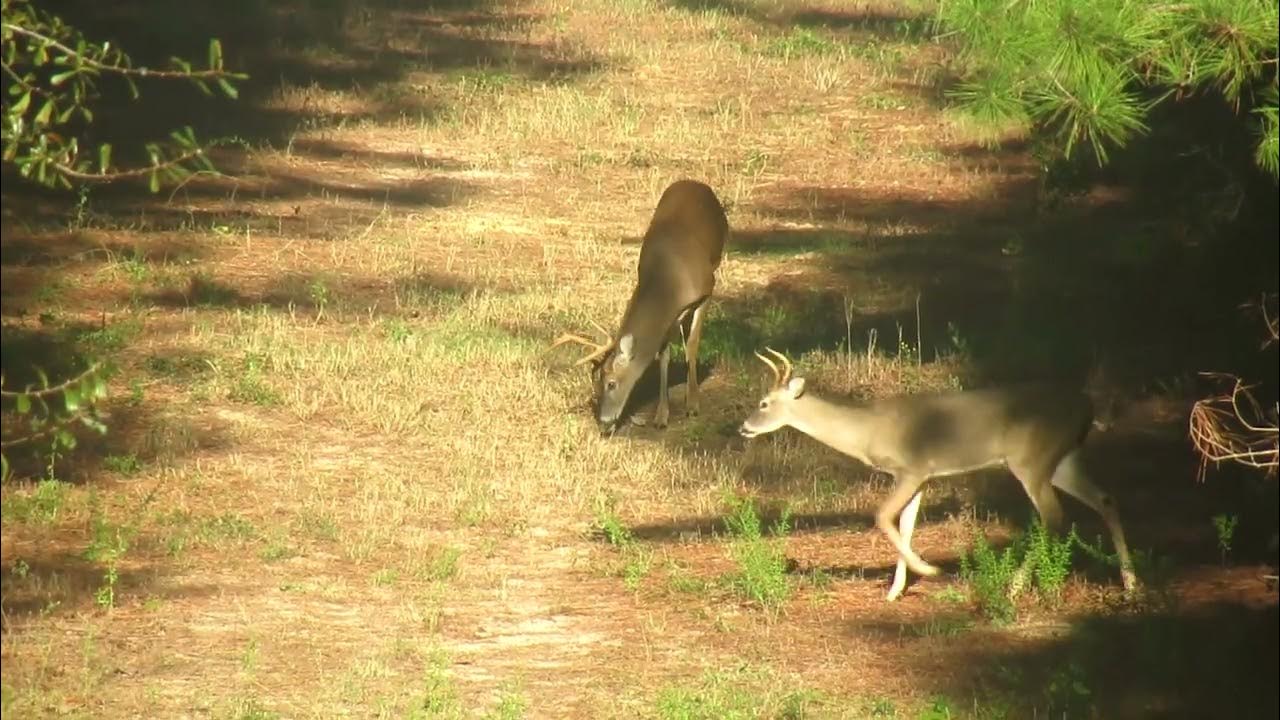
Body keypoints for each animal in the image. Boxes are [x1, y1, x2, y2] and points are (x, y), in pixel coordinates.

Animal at [553, 180, 729, 434]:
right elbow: (663, 356)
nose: (604, 422)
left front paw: (693, 404)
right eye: (596, 384)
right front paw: (661, 416)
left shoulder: (706, 290)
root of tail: (695, 182)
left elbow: (692, 344)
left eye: (612, 383)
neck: (669, 282)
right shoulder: (668, 318)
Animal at [738, 348, 1139, 602]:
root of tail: (1087, 405)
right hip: (1062, 458)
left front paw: (928, 571)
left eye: (763, 403)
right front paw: (895, 591)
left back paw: (1015, 587)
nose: (744, 427)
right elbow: (906, 525)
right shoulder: (923, 478)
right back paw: (1131, 583)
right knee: (1105, 499)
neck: (866, 431)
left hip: (1031, 460)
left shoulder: (912, 468)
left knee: (1053, 515)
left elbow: (882, 516)